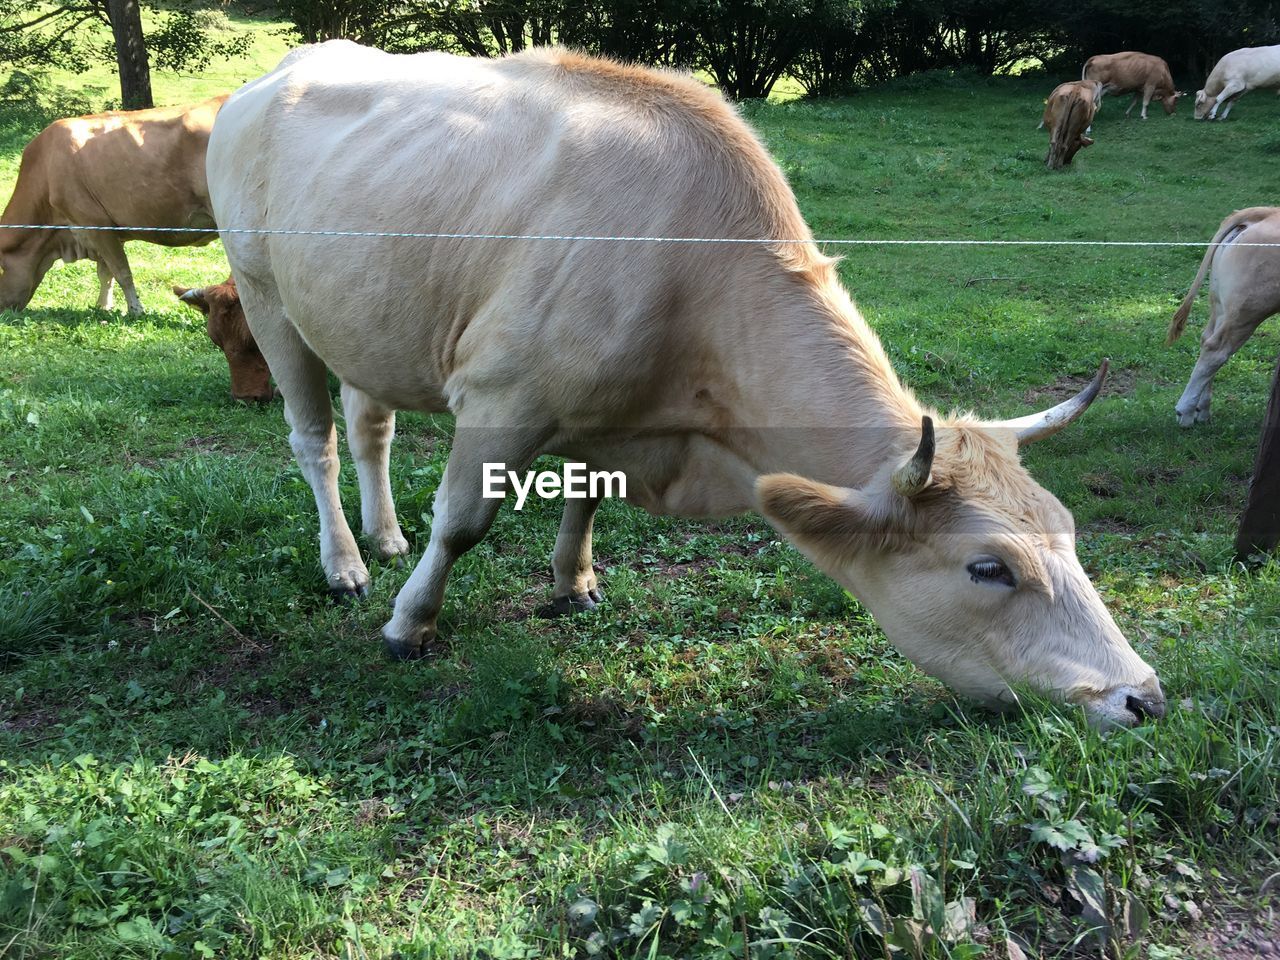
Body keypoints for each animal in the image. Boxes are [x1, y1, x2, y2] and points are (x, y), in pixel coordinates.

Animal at [0, 94, 227, 313]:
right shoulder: (110, 231)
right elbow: (105, 273)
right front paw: (104, 306)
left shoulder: (94, 223)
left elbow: (122, 271)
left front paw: (135, 310)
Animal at [204, 39, 1167, 727]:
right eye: (988, 568)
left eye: (1069, 534)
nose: (1143, 696)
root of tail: (280, 70)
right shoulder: (502, 397)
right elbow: (464, 522)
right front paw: (410, 624)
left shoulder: (609, 418)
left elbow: (585, 497)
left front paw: (573, 582)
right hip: (267, 294)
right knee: (317, 441)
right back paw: (346, 564)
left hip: (366, 315)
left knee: (370, 427)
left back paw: (383, 534)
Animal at [1172, 208, 1280, 427]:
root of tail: (1266, 212)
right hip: (1249, 309)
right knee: (1216, 350)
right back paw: (1185, 411)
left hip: (1221, 305)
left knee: (1207, 340)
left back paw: (1202, 409)